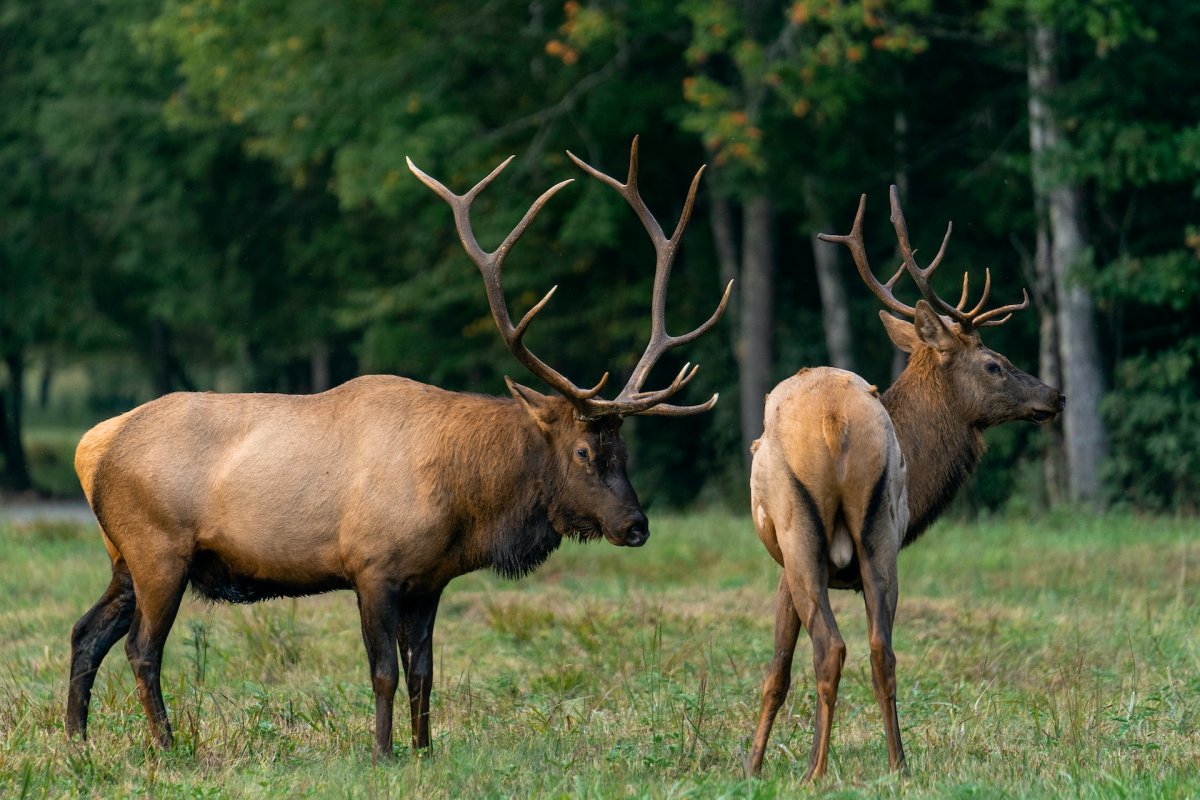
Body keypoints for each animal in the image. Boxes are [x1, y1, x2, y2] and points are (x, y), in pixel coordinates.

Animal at [65, 139, 729, 762]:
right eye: (585, 452)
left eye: (626, 450)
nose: (636, 524)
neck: (464, 507)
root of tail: (93, 446)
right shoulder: (372, 566)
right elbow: (383, 672)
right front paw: (383, 753)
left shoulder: (428, 582)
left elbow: (424, 675)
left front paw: (424, 750)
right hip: (159, 548)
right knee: (141, 648)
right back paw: (167, 745)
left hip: (123, 556)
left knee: (84, 632)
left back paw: (77, 741)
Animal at [744, 188, 1065, 782]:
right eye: (995, 364)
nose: (1055, 396)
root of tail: (835, 419)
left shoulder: (782, 569)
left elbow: (777, 669)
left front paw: (750, 764)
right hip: (878, 536)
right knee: (881, 651)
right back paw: (898, 763)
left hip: (801, 533)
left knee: (832, 648)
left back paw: (816, 770)